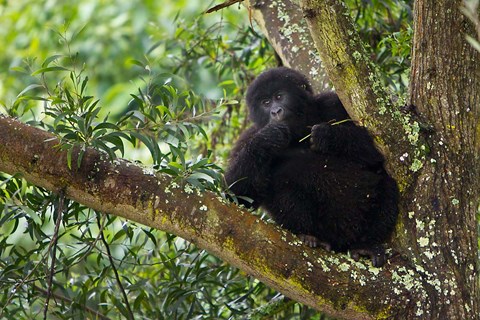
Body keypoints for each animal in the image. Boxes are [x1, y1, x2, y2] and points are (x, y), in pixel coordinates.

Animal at [225, 67, 398, 268]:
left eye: (279, 96)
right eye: (265, 103)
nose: (275, 111)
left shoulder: (333, 103)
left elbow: (376, 153)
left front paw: (328, 136)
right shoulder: (248, 137)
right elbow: (237, 195)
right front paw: (267, 138)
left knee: (387, 183)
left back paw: (365, 244)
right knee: (283, 182)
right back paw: (309, 236)